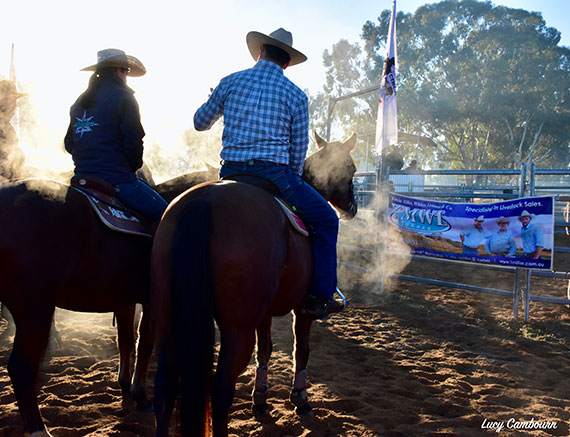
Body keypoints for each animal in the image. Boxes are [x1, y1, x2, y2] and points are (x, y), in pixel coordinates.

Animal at [0, 171, 205, 436]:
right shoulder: (151, 301)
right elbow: (145, 343)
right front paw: (141, 395)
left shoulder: (125, 300)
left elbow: (126, 341)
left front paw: (125, 385)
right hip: (35, 309)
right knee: (22, 369)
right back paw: (38, 429)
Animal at [150, 132, 356, 432]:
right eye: (352, 168)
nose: (353, 206)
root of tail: (205, 202)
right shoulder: (303, 309)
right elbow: (301, 350)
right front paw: (300, 399)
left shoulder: (265, 313)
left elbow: (266, 350)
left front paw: (260, 398)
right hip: (237, 330)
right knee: (221, 390)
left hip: (167, 322)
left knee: (164, 390)